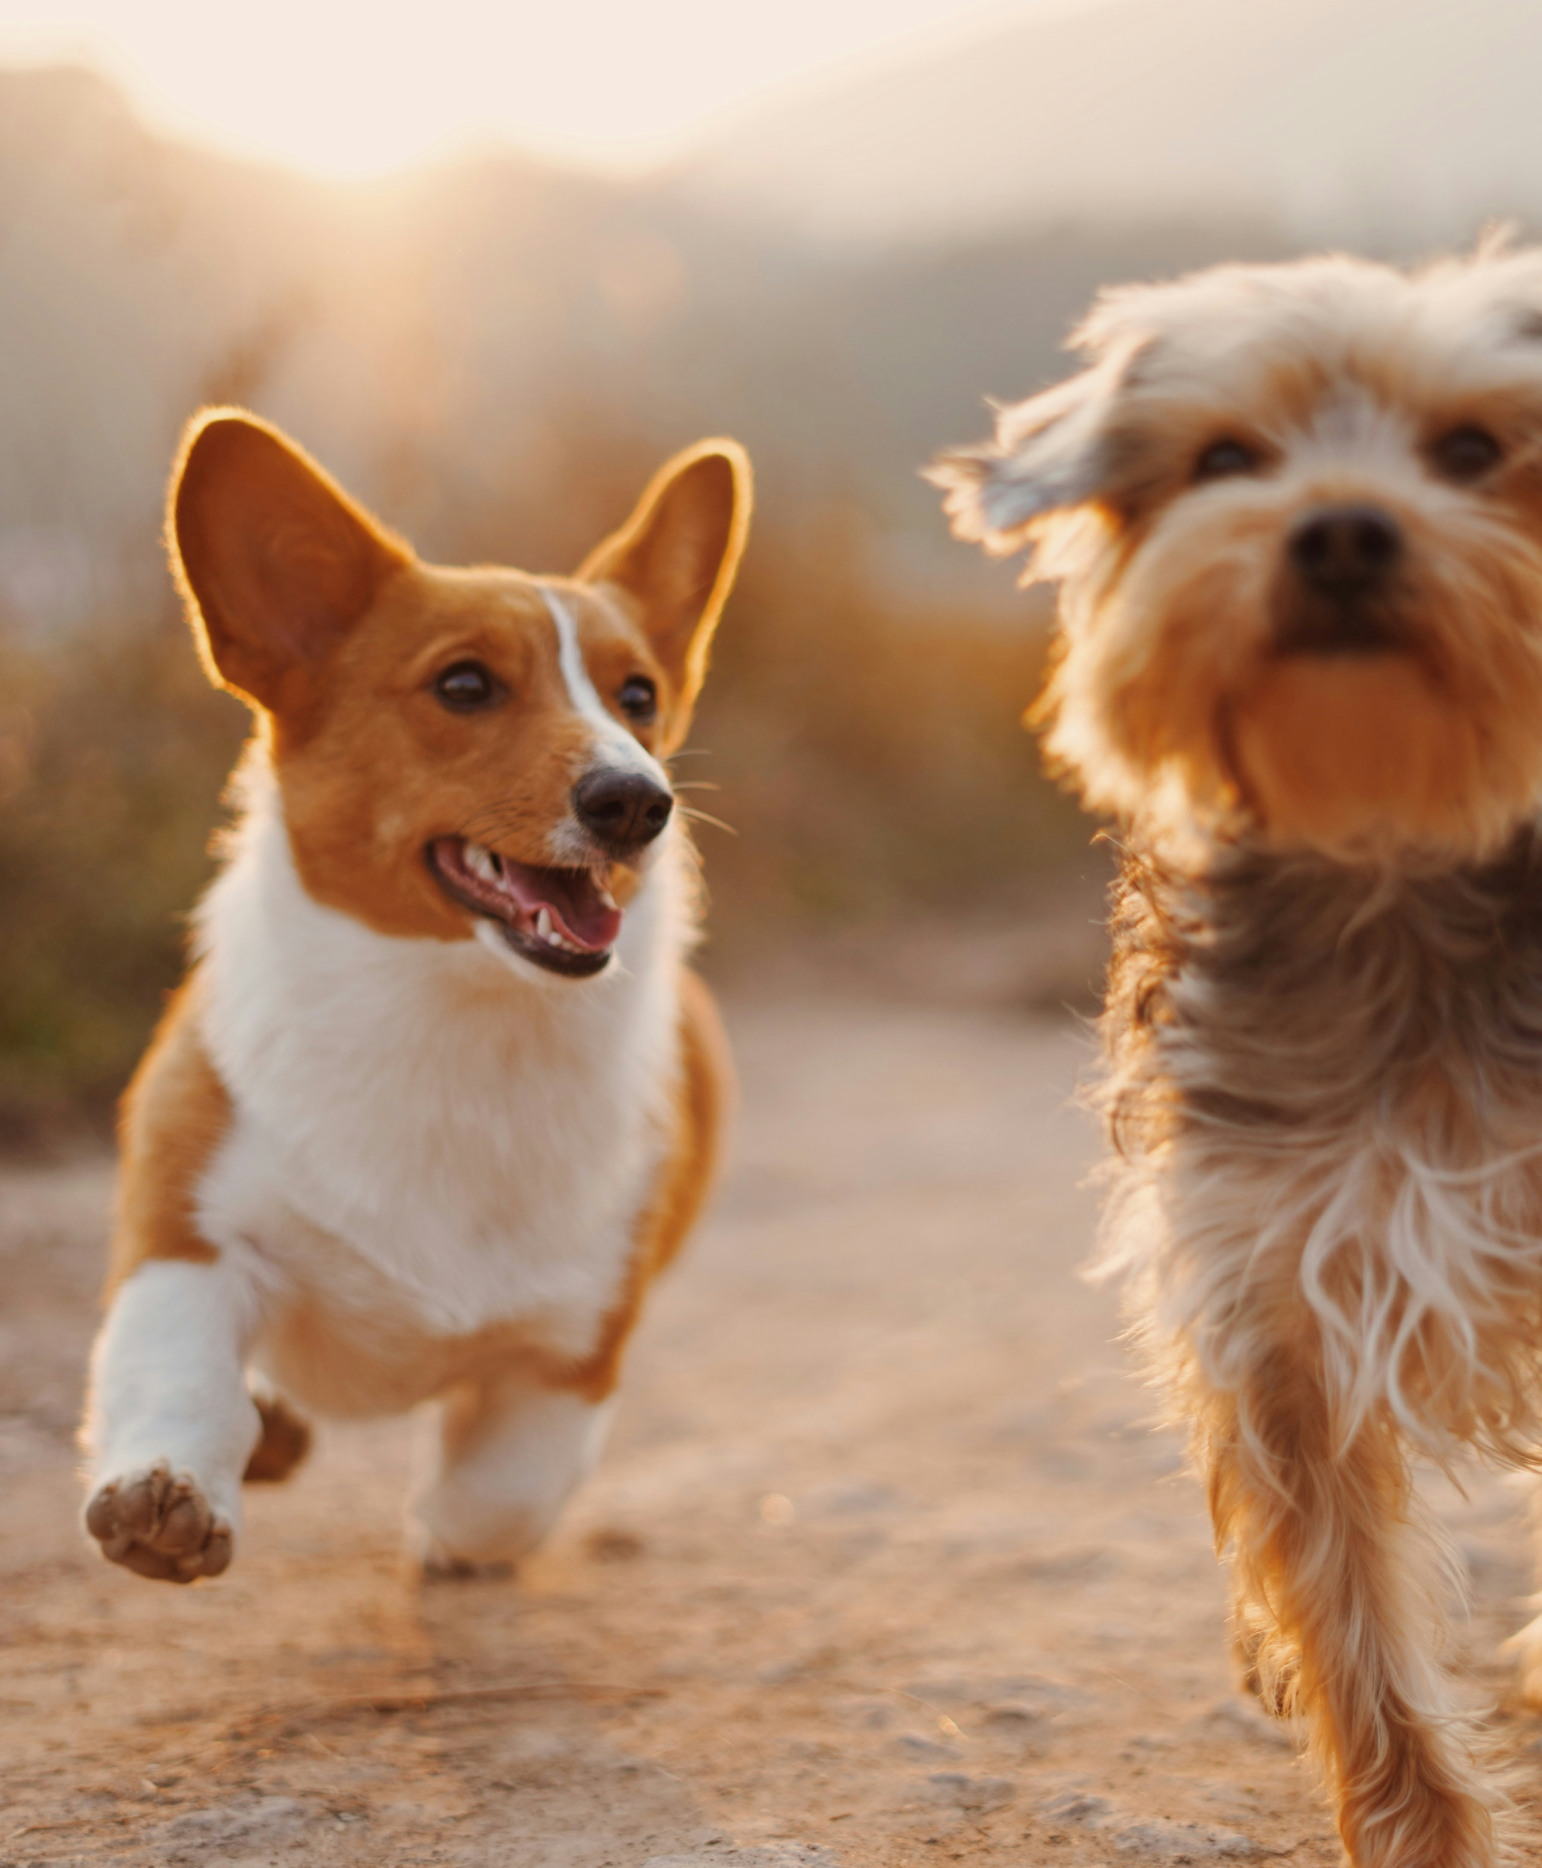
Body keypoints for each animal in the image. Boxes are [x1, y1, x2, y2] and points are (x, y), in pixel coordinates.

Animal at [927, 240, 1542, 1860]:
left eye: (1474, 449)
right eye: (1224, 460)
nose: (1340, 529)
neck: (1391, 858)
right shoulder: (1266, 1295)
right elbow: (1351, 1624)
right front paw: (1421, 1832)